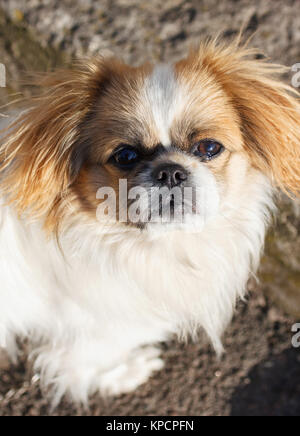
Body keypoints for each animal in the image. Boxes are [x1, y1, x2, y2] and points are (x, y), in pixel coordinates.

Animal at [0, 38, 300, 406]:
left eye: (209, 147)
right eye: (125, 156)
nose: (170, 171)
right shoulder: (93, 334)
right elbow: (87, 365)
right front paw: (124, 373)